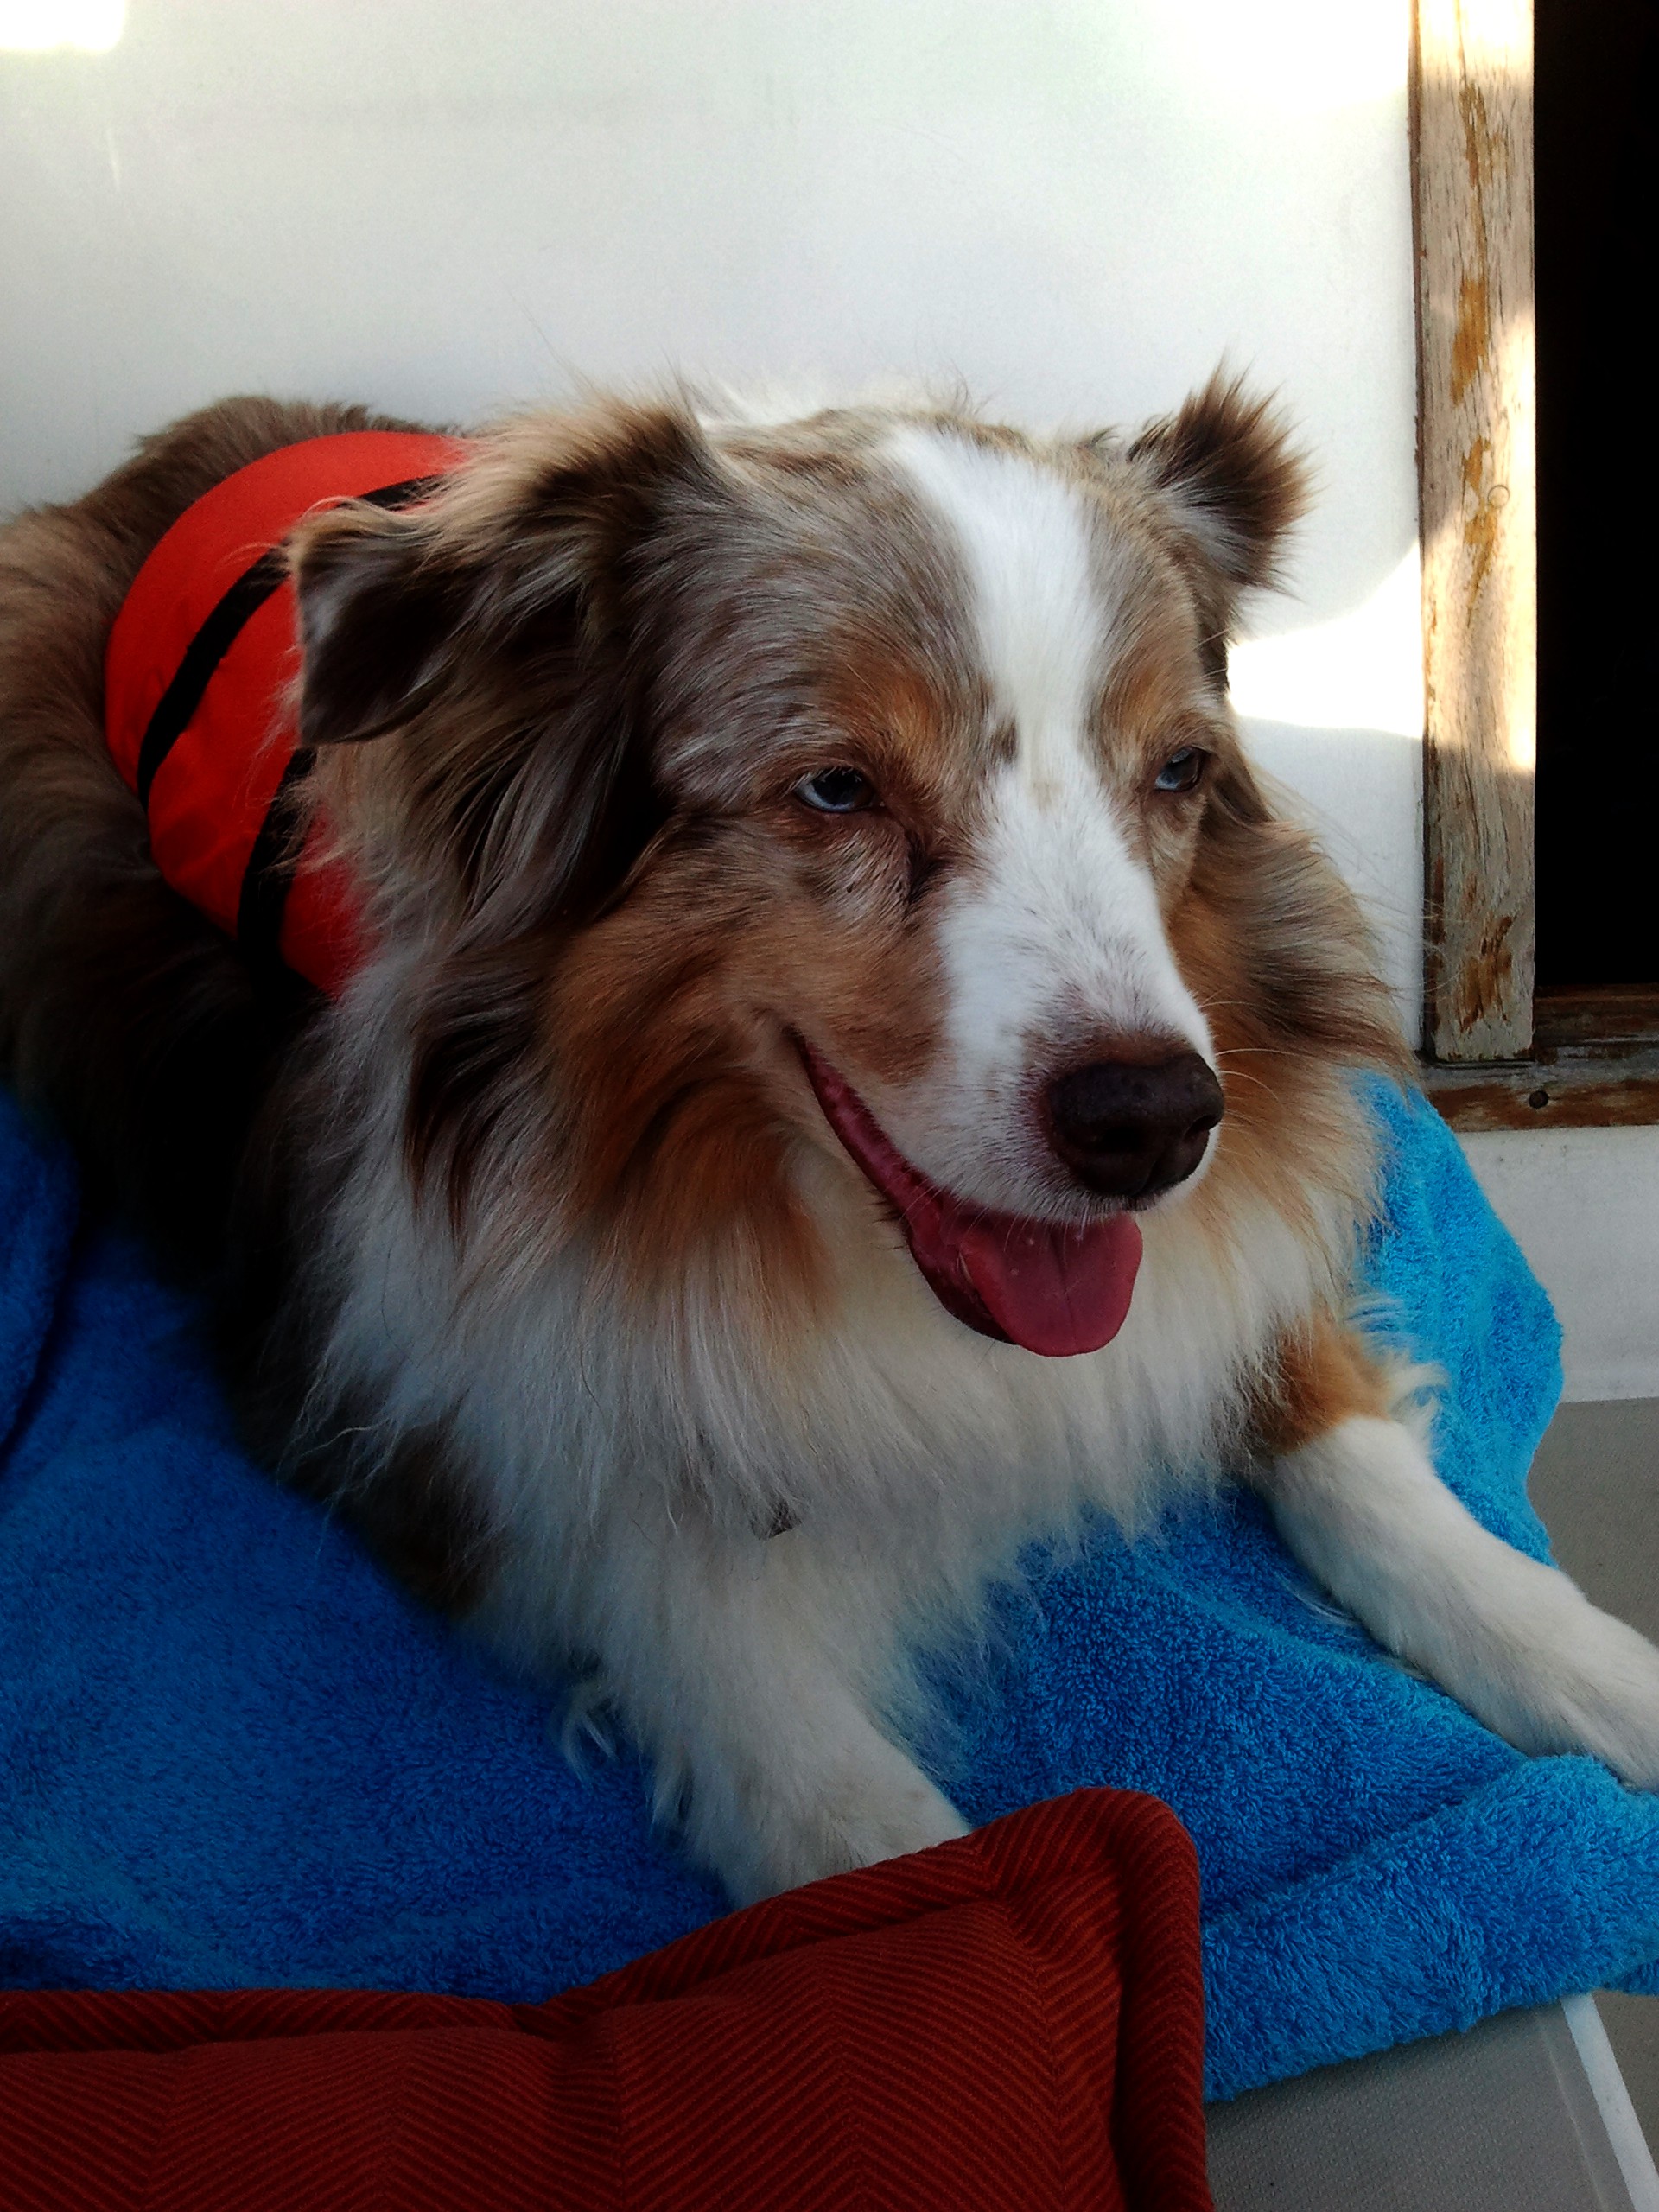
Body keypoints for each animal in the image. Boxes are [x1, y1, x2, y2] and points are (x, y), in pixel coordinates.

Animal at [3, 378, 1657, 1904]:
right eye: (836, 788)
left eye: (1177, 773)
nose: (1153, 1127)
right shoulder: (395, 1383)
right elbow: (764, 1714)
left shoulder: (1232, 1262)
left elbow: (1343, 1440)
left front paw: (1584, 1661)